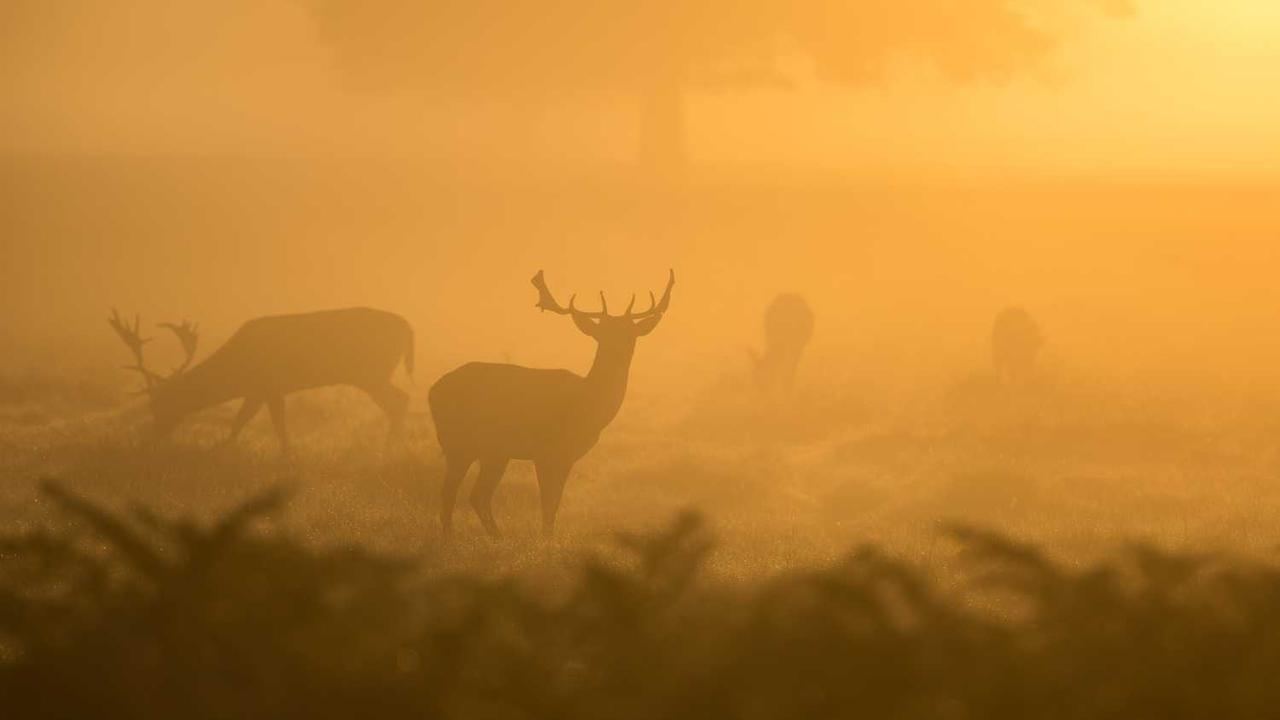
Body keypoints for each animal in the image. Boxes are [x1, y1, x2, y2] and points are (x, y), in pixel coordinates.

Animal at [110, 304, 412, 450]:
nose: (151, 438)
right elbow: (244, 421)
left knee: (399, 400)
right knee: (400, 400)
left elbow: (268, 423)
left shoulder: (269, 384)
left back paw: (390, 448)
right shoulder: (259, 390)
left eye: (160, 405)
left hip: (371, 372)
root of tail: (409, 327)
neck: (237, 371)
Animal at [427, 267, 675, 532]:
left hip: (493, 451)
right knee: (451, 493)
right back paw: (453, 535)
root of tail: (432, 391)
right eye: (602, 333)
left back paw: (495, 535)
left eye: (631, 333)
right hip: (459, 442)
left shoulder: (566, 456)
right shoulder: (545, 450)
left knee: (477, 495)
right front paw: (545, 537)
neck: (588, 405)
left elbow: (554, 505)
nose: (619, 350)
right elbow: (547, 504)